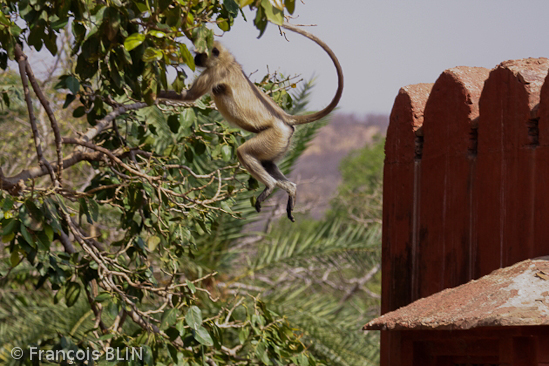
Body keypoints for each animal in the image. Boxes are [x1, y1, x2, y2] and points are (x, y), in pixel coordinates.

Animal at [158, 23, 344, 223]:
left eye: (200, 54)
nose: (195, 58)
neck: (227, 61)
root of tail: (283, 117)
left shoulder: (214, 72)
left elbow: (189, 96)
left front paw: (151, 94)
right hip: (280, 141)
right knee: (268, 163)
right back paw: (291, 189)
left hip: (274, 135)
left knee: (244, 152)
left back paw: (270, 186)